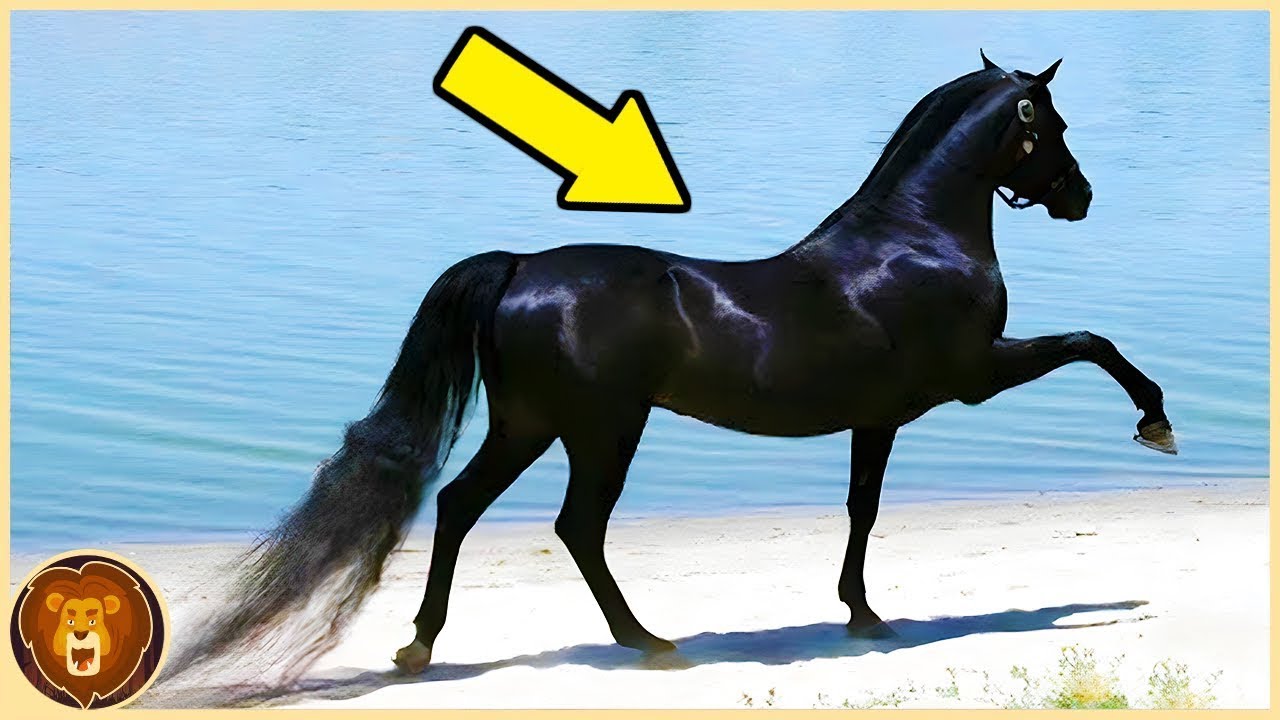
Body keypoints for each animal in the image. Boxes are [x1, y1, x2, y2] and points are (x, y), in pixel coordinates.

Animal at [168, 51, 1176, 683]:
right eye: (1052, 123)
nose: (1081, 197)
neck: (916, 238)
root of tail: (519, 268)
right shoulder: (972, 376)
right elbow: (1093, 343)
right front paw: (1156, 421)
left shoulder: (878, 419)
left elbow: (861, 509)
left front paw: (859, 613)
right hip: (602, 429)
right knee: (576, 526)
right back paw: (646, 641)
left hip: (530, 425)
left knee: (458, 507)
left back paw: (421, 648)